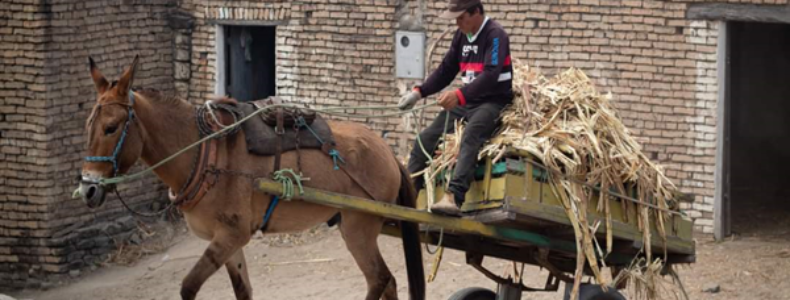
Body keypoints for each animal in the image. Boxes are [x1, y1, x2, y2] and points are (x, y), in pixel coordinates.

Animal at [76, 56, 426, 300]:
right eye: (87, 125)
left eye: (111, 128)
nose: (88, 189)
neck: (204, 153)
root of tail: (387, 151)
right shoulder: (229, 241)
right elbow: (243, 290)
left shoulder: (231, 235)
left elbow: (188, 286)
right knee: (389, 282)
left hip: (358, 228)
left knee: (379, 279)